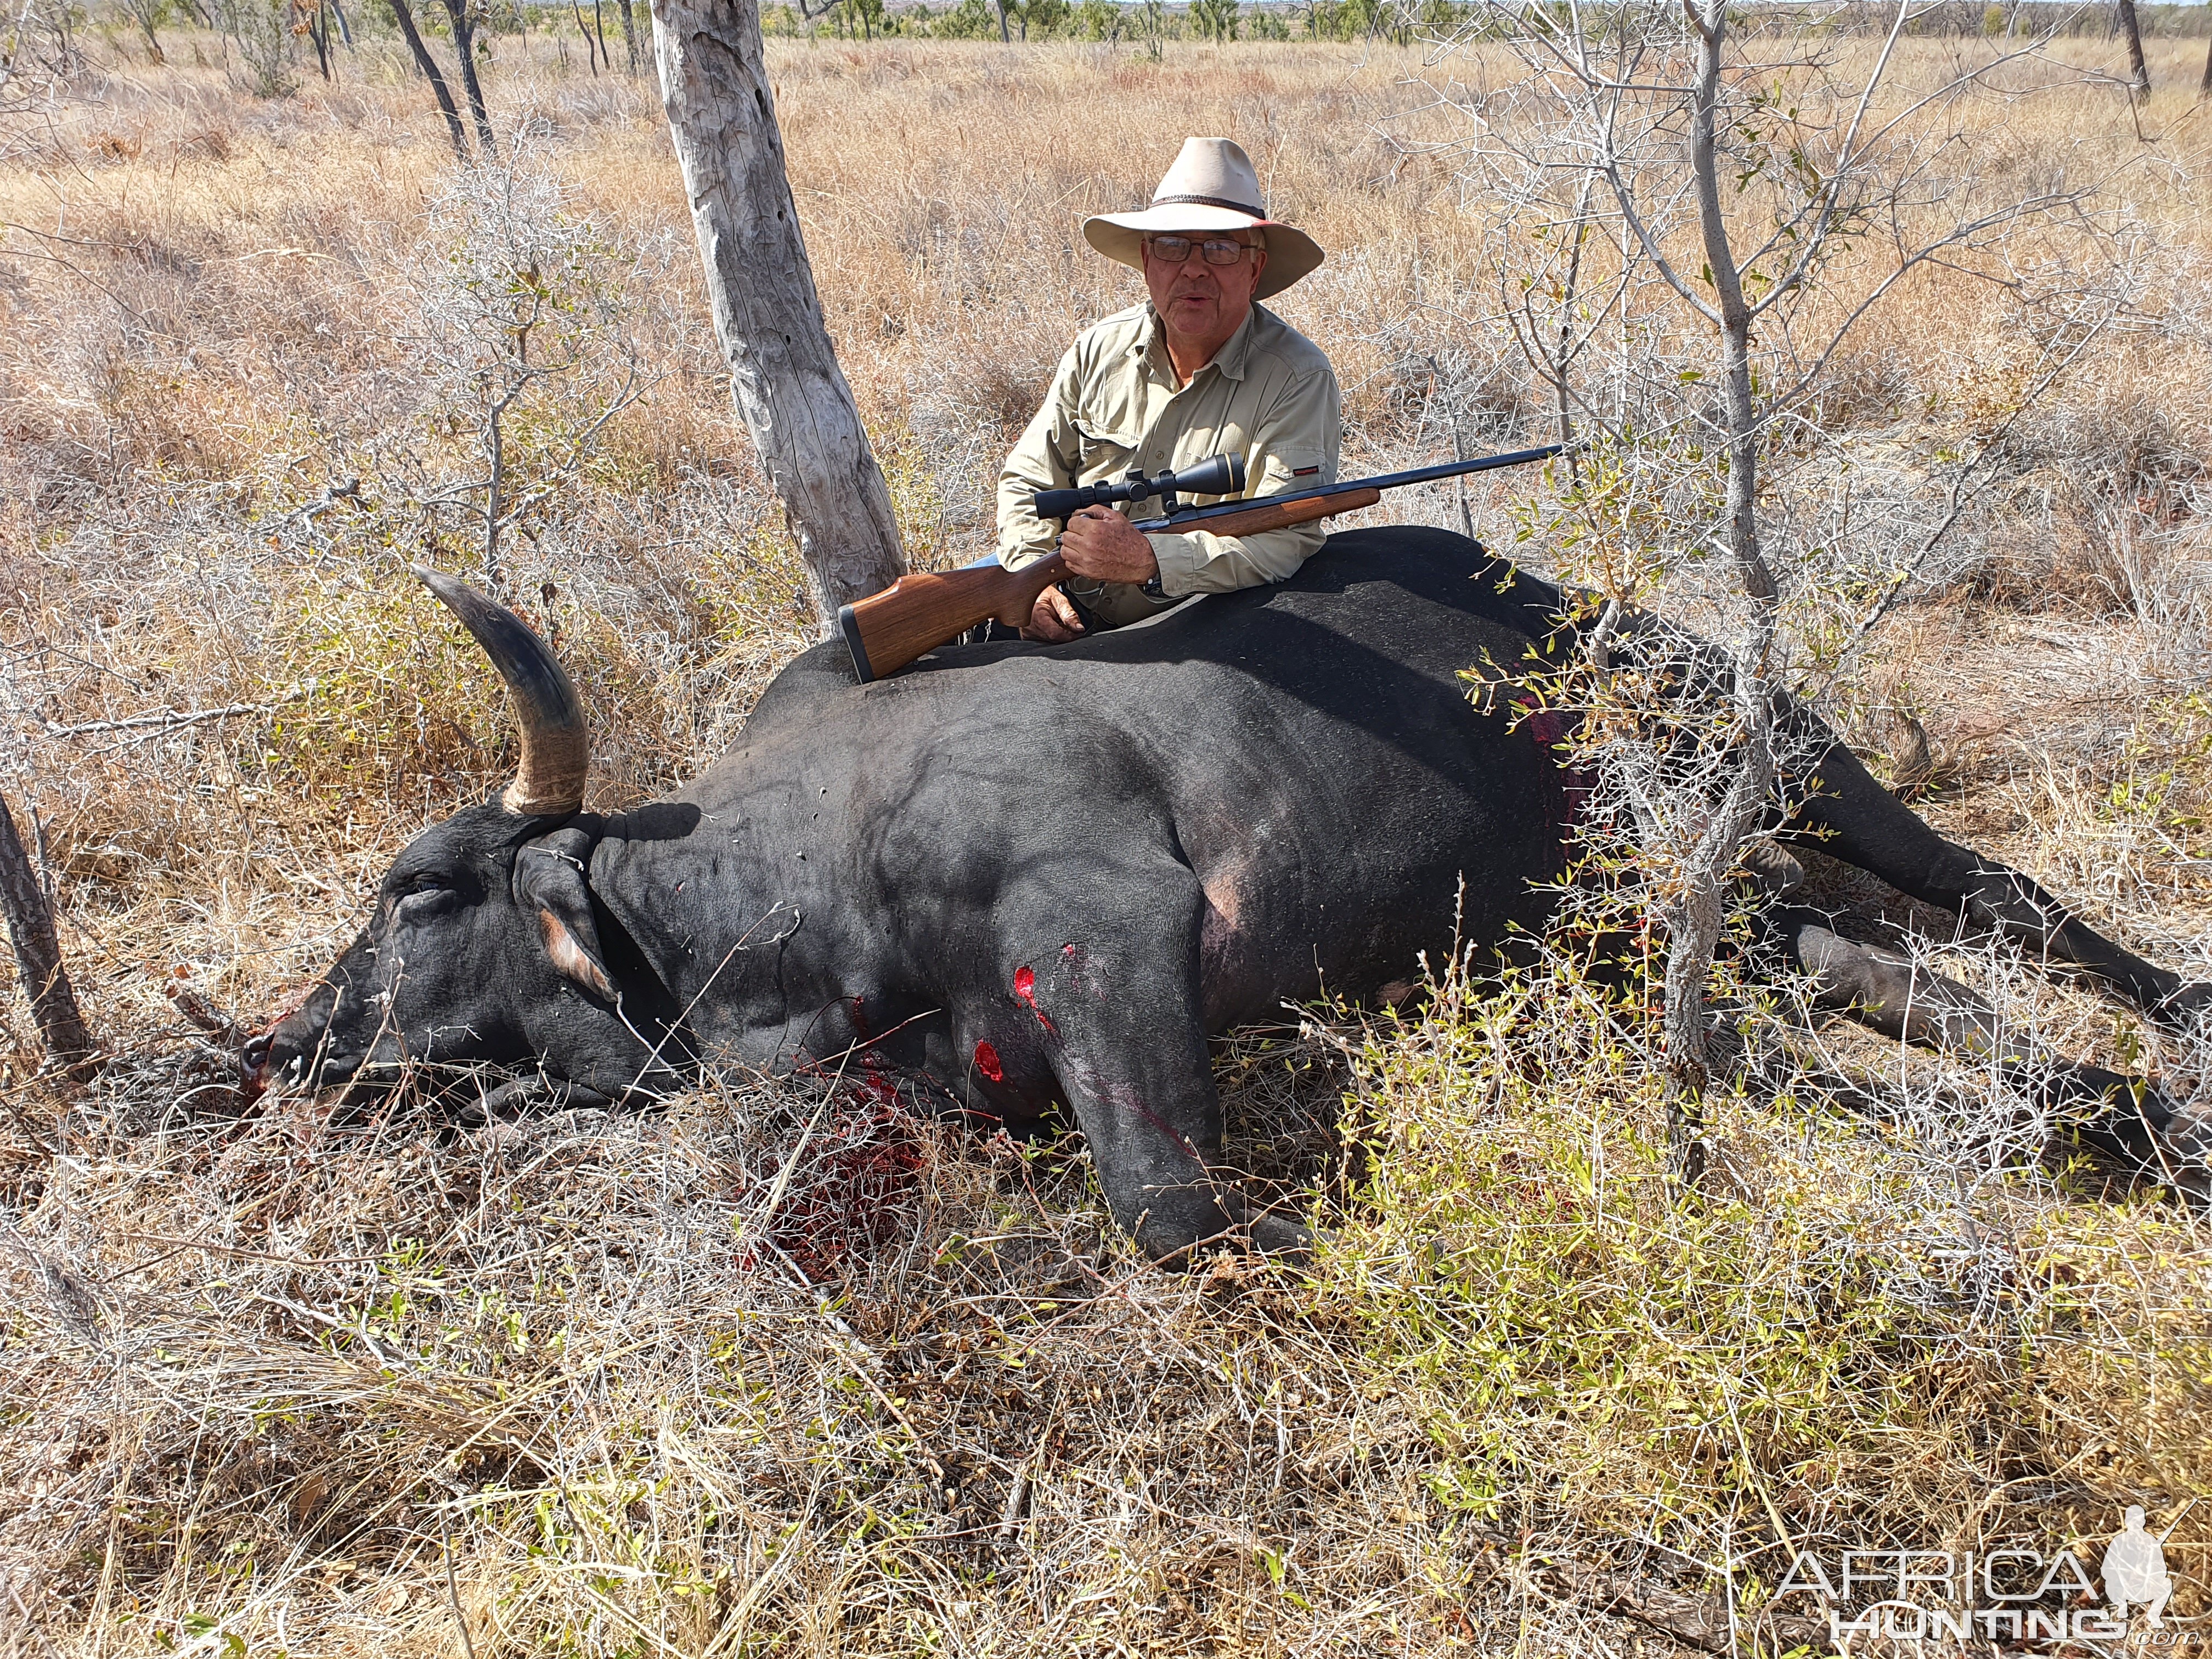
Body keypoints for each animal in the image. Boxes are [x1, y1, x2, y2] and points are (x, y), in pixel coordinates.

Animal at [246, 533, 2212, 1256]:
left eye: (416, 895)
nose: (289, 1042)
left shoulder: (1108, 927)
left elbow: (1170, 1212)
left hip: (1797, 766)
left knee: (2016, 906)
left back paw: (2174, 1063)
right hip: (1640, 950)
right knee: (1881, 1015)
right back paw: (2117, 1124)